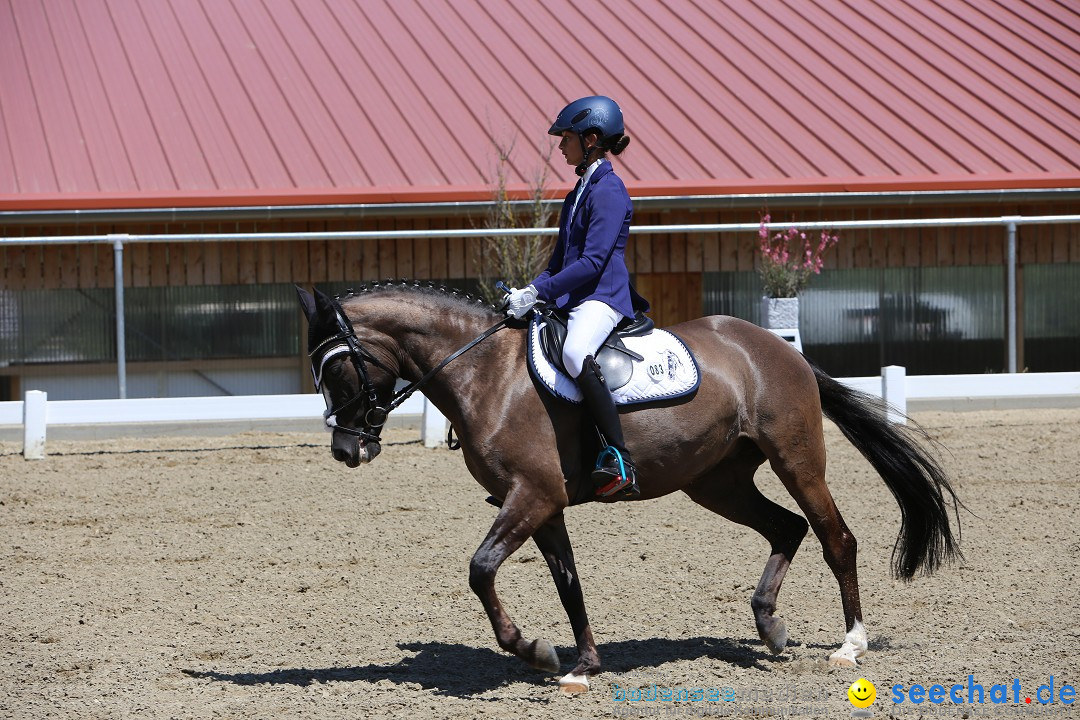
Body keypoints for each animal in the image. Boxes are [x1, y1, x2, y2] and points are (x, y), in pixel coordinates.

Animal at [295, 280, 963, 690]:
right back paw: (769, 626)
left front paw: (534, 650)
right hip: (716, 483)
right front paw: (580, 664)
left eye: (337, 367)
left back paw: (850, 644)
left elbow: (480, 569)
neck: (486, 374)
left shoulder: (532, 496)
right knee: (788, 528)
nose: (346, 450)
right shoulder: (544, 504)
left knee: (834, 537)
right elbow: (568, 584)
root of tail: (780, 349)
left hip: (796, 461)